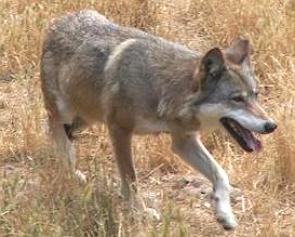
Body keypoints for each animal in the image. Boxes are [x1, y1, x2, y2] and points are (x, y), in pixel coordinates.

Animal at [40, 10, 278, 231]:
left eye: (255, 95)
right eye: (237, 99)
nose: (271, 125)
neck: (164, 89)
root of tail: (61, 20)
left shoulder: (184, 141)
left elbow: (221, 174)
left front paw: (225, 214)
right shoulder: (119, 129)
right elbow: (131, 179)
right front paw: (140, 213)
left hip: (86, 118)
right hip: (67, 112)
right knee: (55, 130)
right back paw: (69, 169)